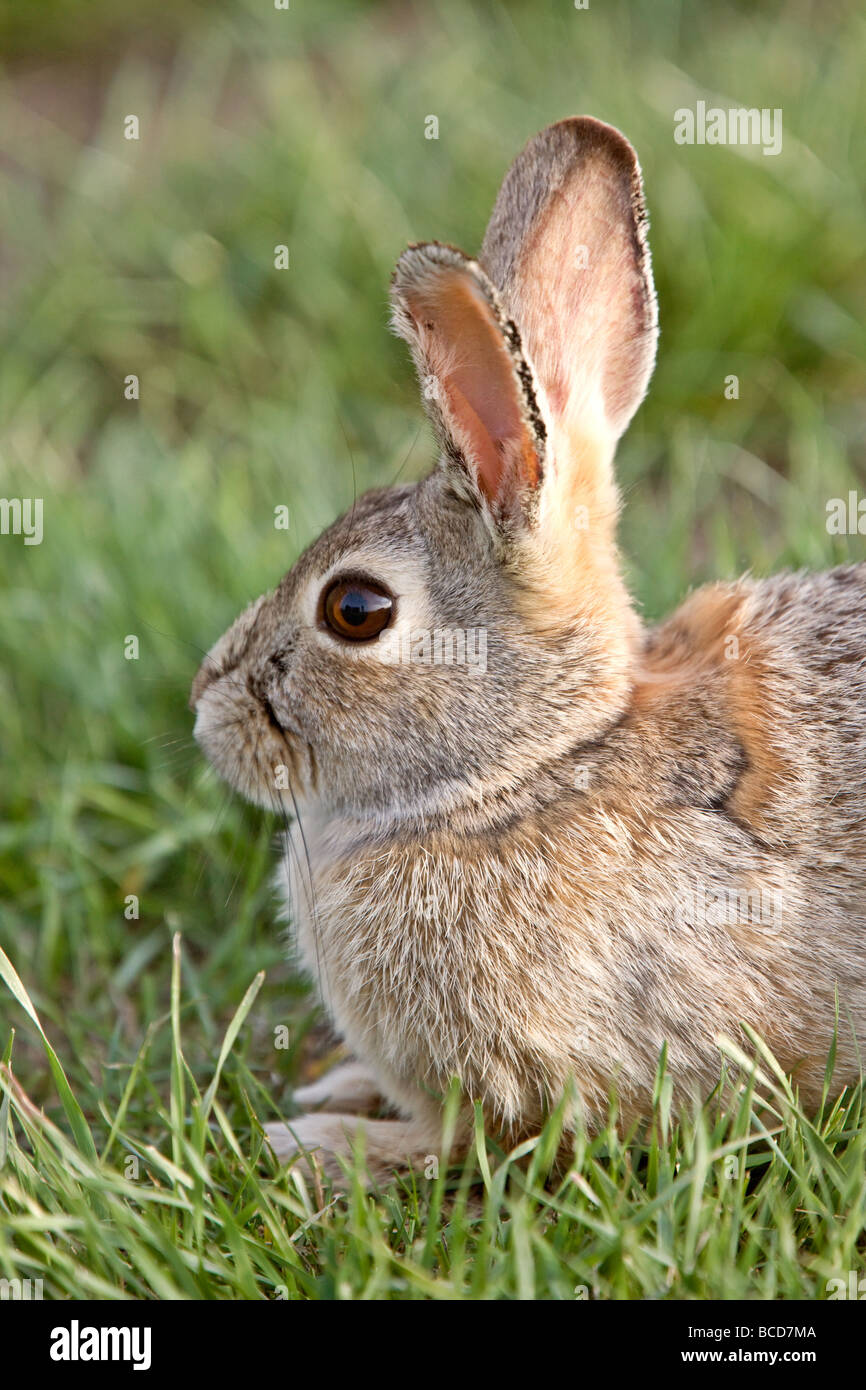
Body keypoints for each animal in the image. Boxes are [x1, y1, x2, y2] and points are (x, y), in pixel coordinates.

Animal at [191, 116, 866, 1184]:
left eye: (353, 609)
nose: (204, 708)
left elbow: (467, 1143)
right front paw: (341, 1089)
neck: (537, 770)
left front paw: (323, 1140)